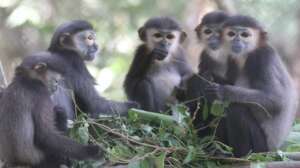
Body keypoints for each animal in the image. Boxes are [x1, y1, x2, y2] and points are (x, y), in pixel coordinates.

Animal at [203, 14, 298, 158]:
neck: (246, 56)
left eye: (244, 35)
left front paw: (223, 91)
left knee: (236, 108)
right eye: (231, 34)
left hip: (260, 147)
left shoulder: (263, 57)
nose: (236, 40)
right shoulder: (232, 59)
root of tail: (272, 151)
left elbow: (276, 100)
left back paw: (238, 155)